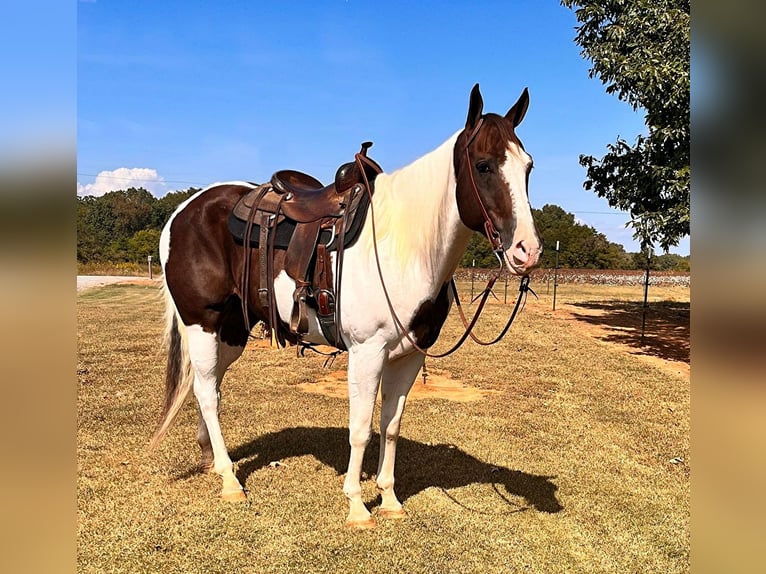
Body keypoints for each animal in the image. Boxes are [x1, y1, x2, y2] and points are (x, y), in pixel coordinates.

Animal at [152, 83, 544, 528]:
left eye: (528, 166)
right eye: (483, 165)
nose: (527, 251)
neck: (403, 248)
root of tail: (182, 211)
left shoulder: (408, 356)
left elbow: (390, 425)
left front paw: (389, 499)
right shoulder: (366, 352)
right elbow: (360, 429)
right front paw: (357, 505)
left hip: (231, 330)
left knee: (208, 384)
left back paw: (210, 458)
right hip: (203, 322)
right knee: (206, 391)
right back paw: (229, 479)